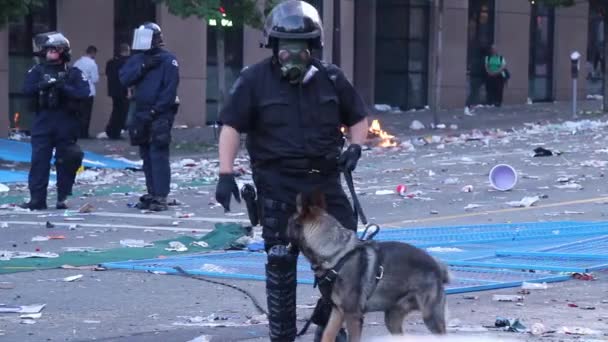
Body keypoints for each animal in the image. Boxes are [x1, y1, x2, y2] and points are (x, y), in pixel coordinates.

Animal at [288, 191, 448, 340]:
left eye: (288, 223)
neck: (335, 254)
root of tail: (437, 265)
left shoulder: (353, 316)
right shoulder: (338, 312)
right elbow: (327, 335)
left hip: (430, 317)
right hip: (392, 318)